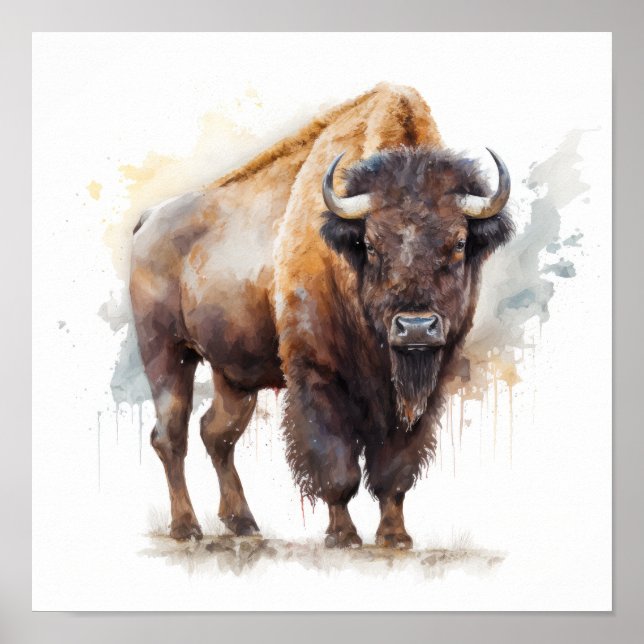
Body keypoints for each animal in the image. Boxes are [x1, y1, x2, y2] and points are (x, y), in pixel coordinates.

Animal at [130, 83, 513, 548]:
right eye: (370, 244)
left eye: (458, 243)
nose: (415, 326)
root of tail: (148, 220)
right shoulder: (317, 374)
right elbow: (336, 464)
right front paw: (343, 535)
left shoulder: (424, 384)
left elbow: (395, 469)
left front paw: (394, 536)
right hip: (166, 353)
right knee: (171, 436)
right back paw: (186, 527)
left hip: (233, 374)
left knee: (217, 433)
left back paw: (243, 522)